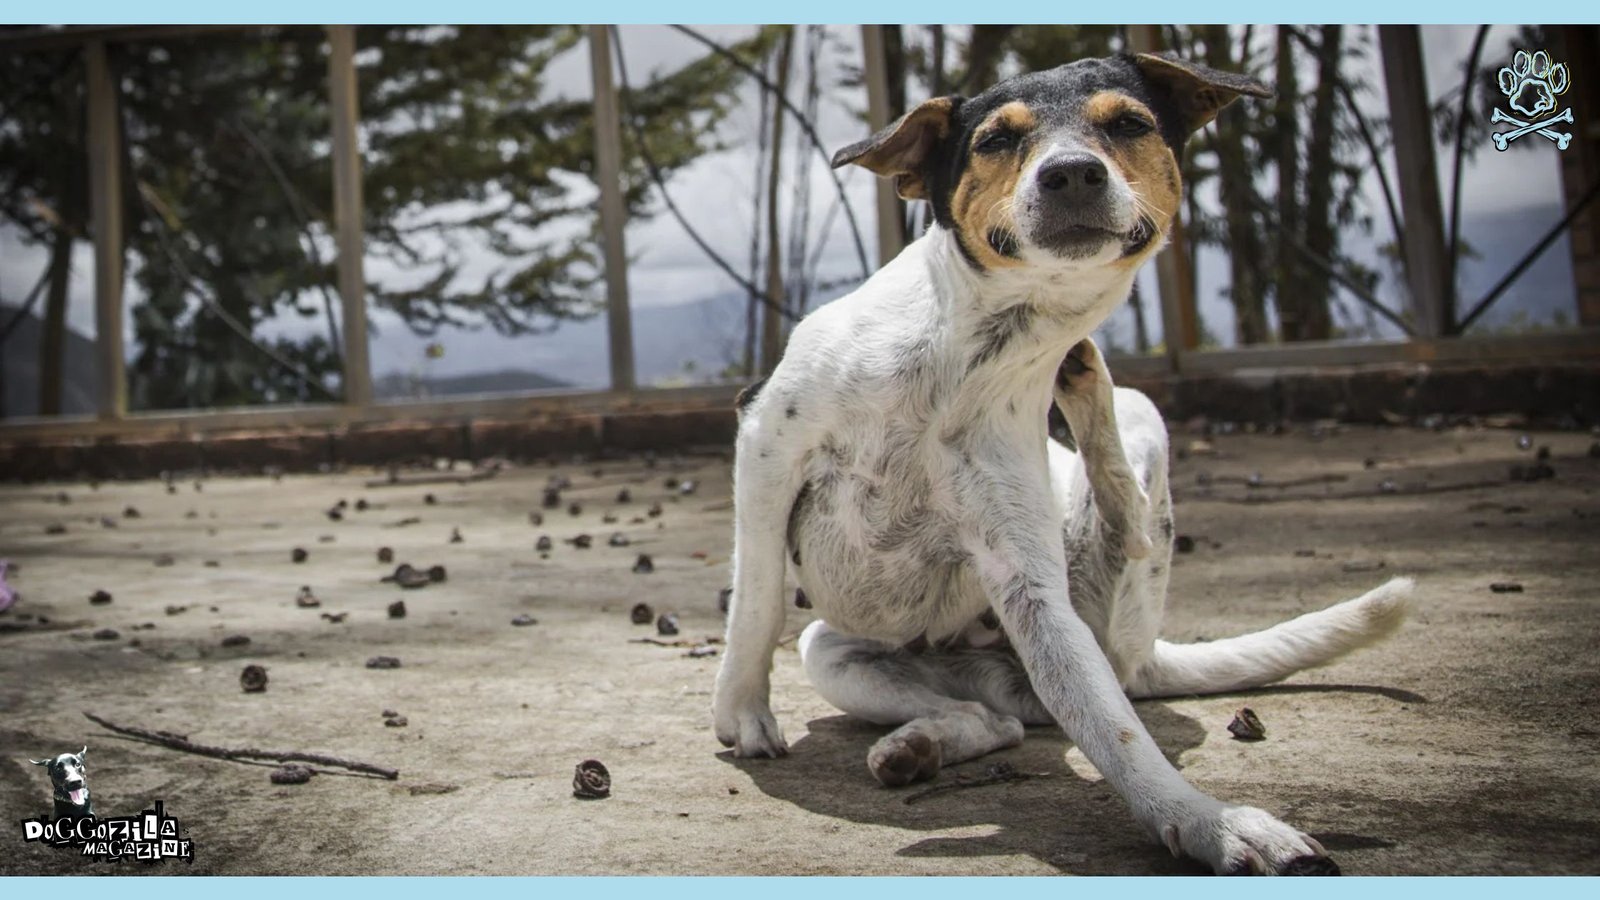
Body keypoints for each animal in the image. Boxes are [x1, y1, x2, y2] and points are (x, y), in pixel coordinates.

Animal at [713, 52, 1414, 871]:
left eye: (1129, 124)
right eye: (994, 139)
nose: (1073, 172)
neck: (969, 354)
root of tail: (1143, 660)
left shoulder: (1029, 587)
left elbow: (1120, 737)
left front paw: (1208, 822)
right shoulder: (765, 443)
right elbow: (757, 597)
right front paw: (744, 711)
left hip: (1114, 535)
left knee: (1086, 631)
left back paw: (1107, 452)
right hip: (834, 652)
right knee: (992, 718)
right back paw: (919, 745)